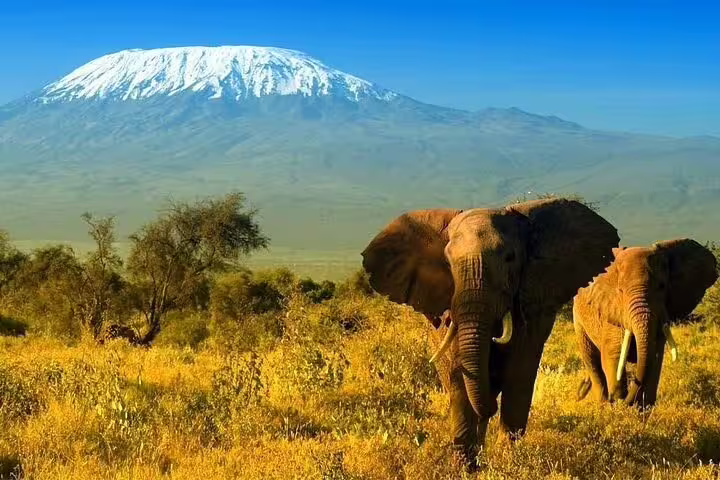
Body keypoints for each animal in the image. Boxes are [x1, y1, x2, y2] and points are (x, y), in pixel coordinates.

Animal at [360, 197, 619, 466]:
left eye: (510, 258)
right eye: (448, 262)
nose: (491, 406)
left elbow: (519, 373)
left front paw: (509, 461)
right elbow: (458, 374)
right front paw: (465, 466)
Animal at [573, 239, 718, 407]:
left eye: (662, 286)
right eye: (620, 291)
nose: (625, 402)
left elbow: (655, 357)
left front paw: (642, 407)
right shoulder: (613, 313)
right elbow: (613, 356)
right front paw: (618, 405)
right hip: (578, 320)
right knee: (592, 361)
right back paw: (602, 403)